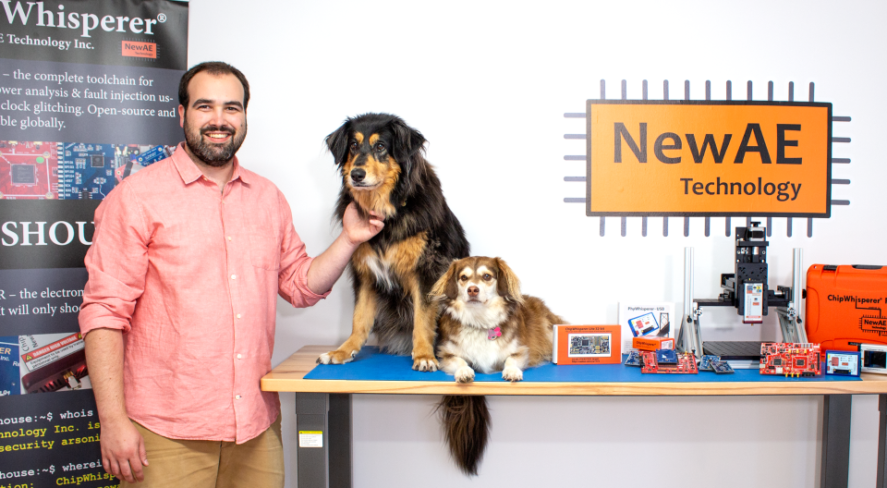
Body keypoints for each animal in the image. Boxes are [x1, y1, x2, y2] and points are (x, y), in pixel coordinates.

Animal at [320, 114, 472, 372]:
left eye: (381, 146)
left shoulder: (426, 271)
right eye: (353, 146)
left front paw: (424, 355)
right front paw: (344, 351)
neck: (390, 211)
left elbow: (422, 317)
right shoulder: (365, 273)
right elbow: (359, 318)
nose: (356, 175)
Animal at [428, 255, 560, 472]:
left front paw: (512, 372)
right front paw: (464, 372)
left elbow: (510, 359)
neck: (479, 322)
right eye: (463, 278)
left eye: (487, 276)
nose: (472, 289)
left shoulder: (521, 350)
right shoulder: (446, 354)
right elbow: (460, 361)